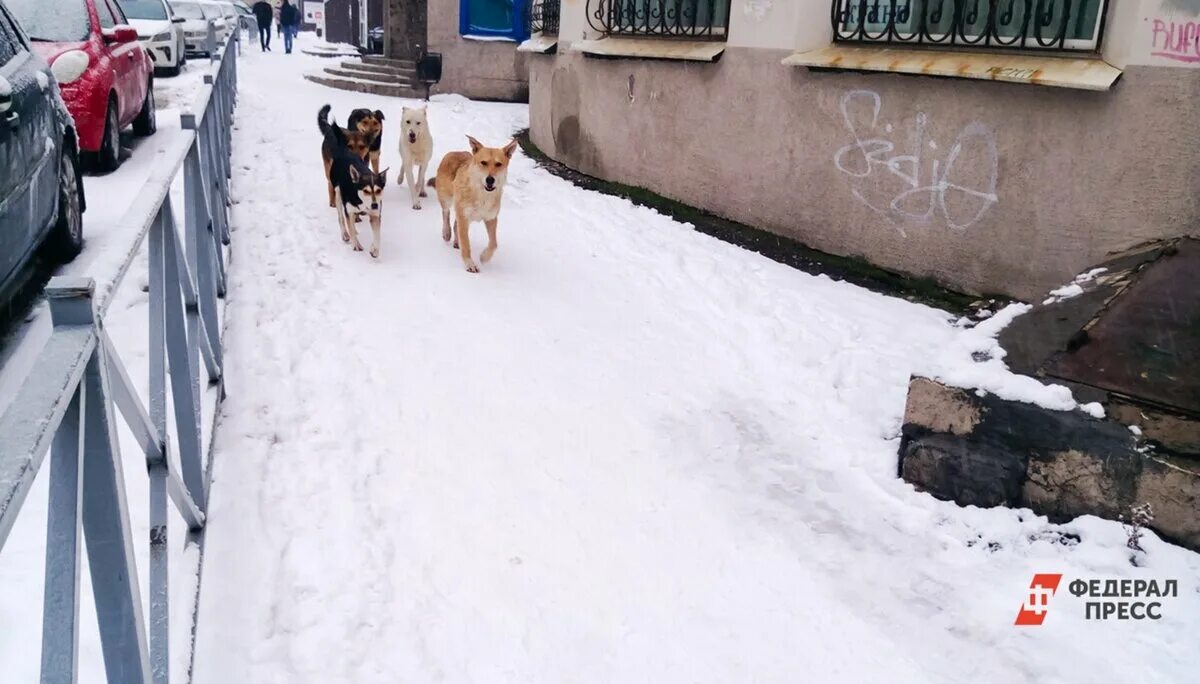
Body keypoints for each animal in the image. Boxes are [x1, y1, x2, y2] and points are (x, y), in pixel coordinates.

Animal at [434, 134, 518, 270]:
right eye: (483, 163)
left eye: (498, 164)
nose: (490, 180)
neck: (482, 195)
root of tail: (454, 152)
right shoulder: (464, 217)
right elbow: (466, 244)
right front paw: (470, 264)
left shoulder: (491, 218)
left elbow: (494, 243)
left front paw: (484, 257)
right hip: (446, 199)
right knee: (445, 213)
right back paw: (446, 233)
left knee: (455, 224)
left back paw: (456, 241)